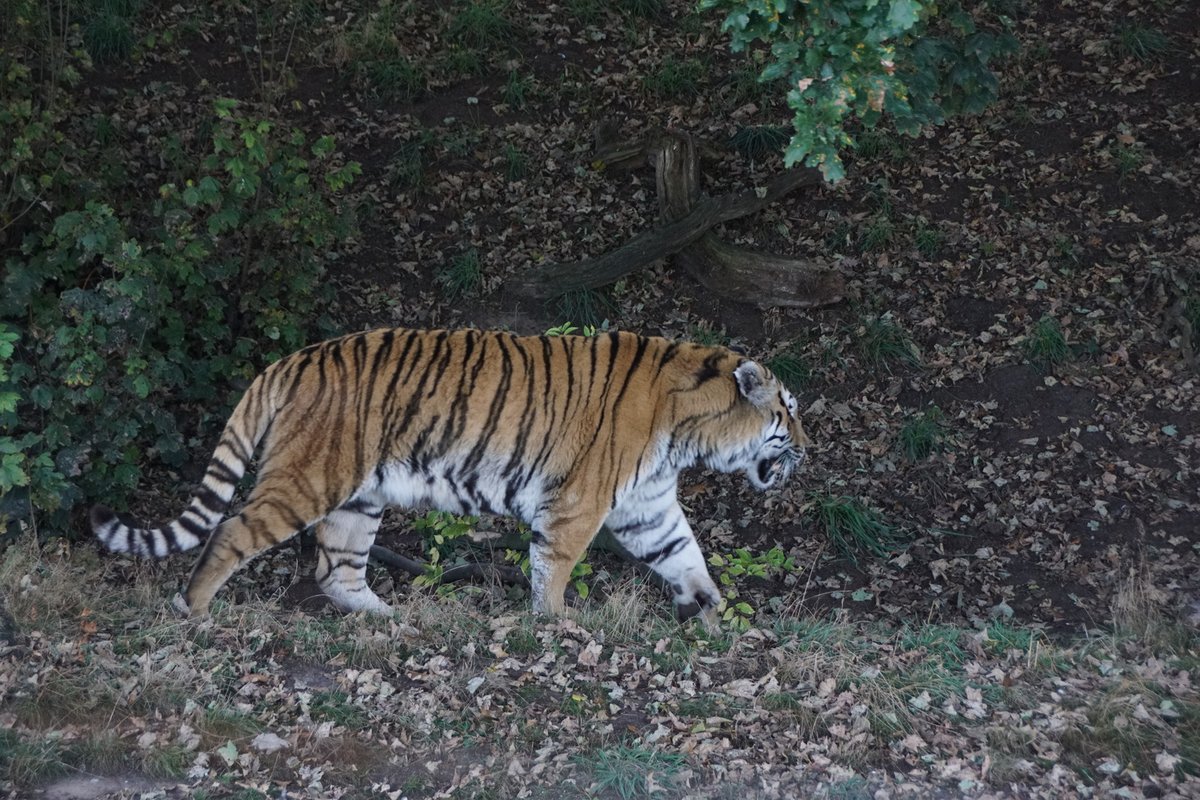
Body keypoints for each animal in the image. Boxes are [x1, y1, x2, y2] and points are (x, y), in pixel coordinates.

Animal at [91, 327, 810, 624]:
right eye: (788, 411)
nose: (808, 448)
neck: (689, 430)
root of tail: (293, 358)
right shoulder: (578, 503)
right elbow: (554, 568)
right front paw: (553, 627)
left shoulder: (648, 504)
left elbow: (686, 555)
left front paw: (713, 613)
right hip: (309, 478)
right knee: (234, 530)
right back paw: (193, 611)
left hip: (360, 496)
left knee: (336, 569)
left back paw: (391, 618)